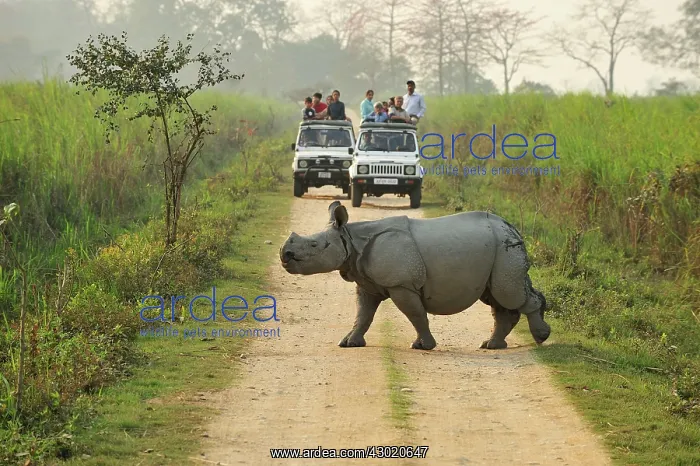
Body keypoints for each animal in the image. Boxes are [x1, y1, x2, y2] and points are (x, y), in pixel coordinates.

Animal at [279, 201, 550, 350]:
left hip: (505, 248)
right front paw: (349, 343)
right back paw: (492, 346)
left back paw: (540, 338)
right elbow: (363, 315)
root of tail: (512, 226)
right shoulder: (367, 282)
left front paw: (423, 346)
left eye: (314, 245)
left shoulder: (401, 284)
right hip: (498, 249)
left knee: (508, 294)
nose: (285, 254)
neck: (350, 239)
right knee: (497, 296)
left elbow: (416, 314)